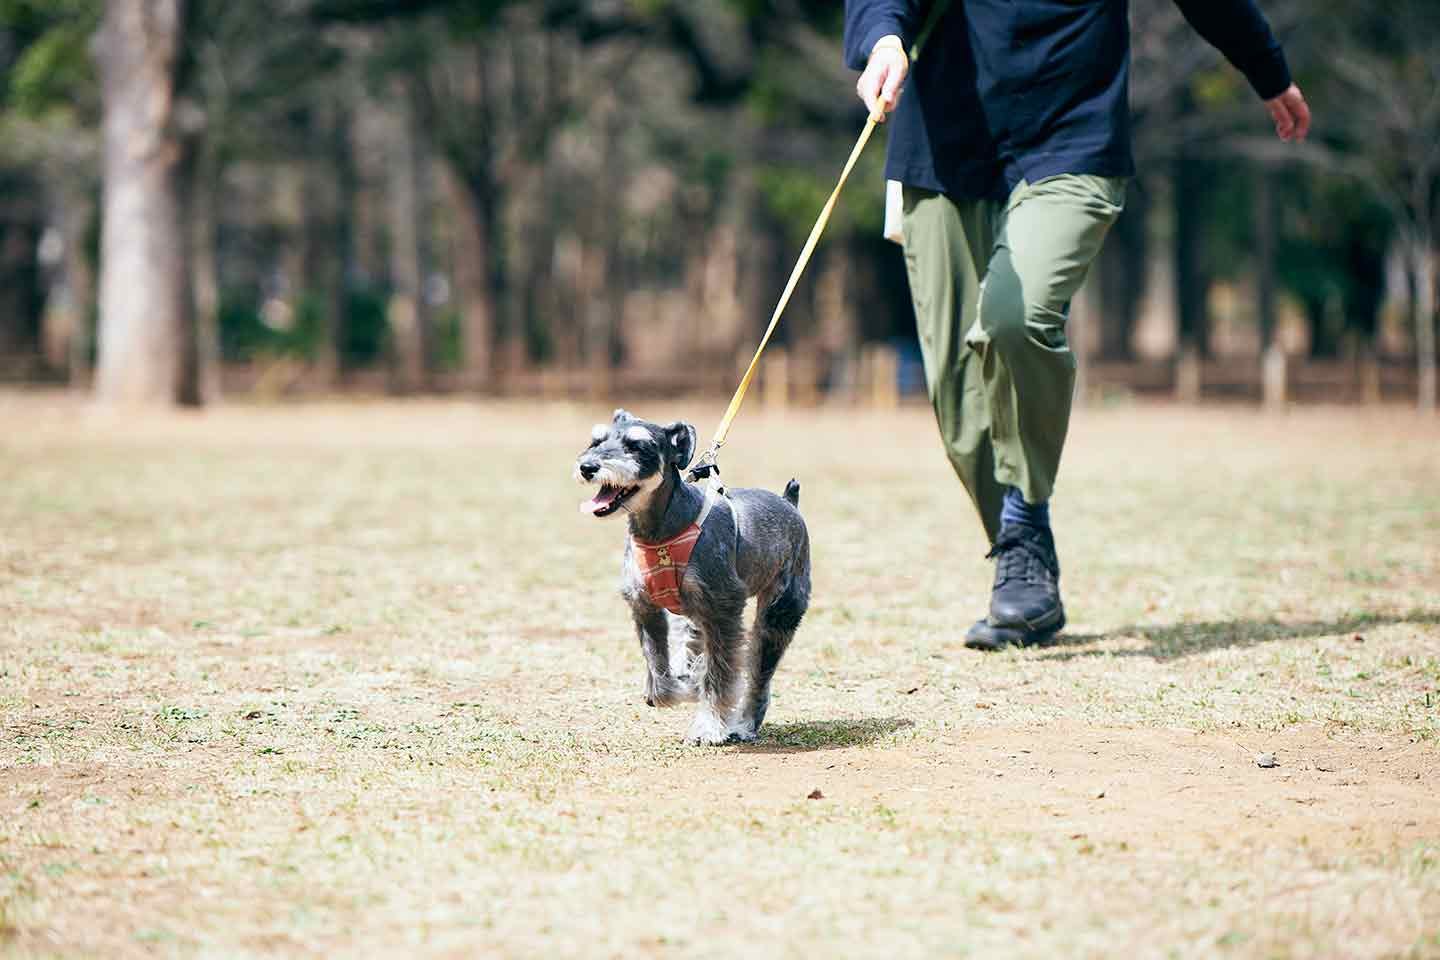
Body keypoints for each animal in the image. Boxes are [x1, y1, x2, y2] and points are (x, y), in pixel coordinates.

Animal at [578, 408, 817, 748]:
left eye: (638, 446)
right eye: (596, 441)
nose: (587, 467)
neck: (660, 529)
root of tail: (789, 503)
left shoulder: (723, 609)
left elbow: (719, 675)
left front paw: (709, 727)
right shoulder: (645, 608)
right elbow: (659, 675)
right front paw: (681, 689)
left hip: (779, 613)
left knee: (759, 674)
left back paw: (744, 725)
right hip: (691, 616)